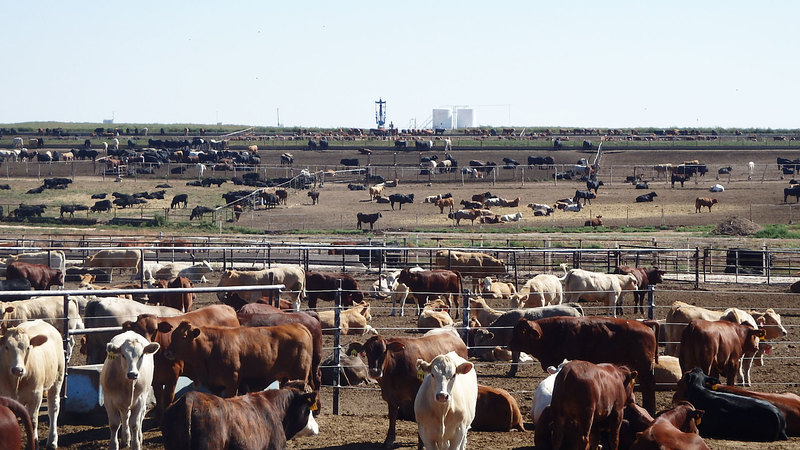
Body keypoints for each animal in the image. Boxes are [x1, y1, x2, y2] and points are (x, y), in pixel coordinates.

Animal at [162, 320, 312, 398]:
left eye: (183, 337)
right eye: (173, 335)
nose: (167, 352)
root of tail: (298, 326)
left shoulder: (232, 381)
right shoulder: (215, 385)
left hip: (299, 375)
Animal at [510, 314, 660, 414]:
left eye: (522, 332)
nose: (509, 344)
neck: (554, 333)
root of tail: (644, 324)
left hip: (644, 366)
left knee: (648, 386)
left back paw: (650, 410)